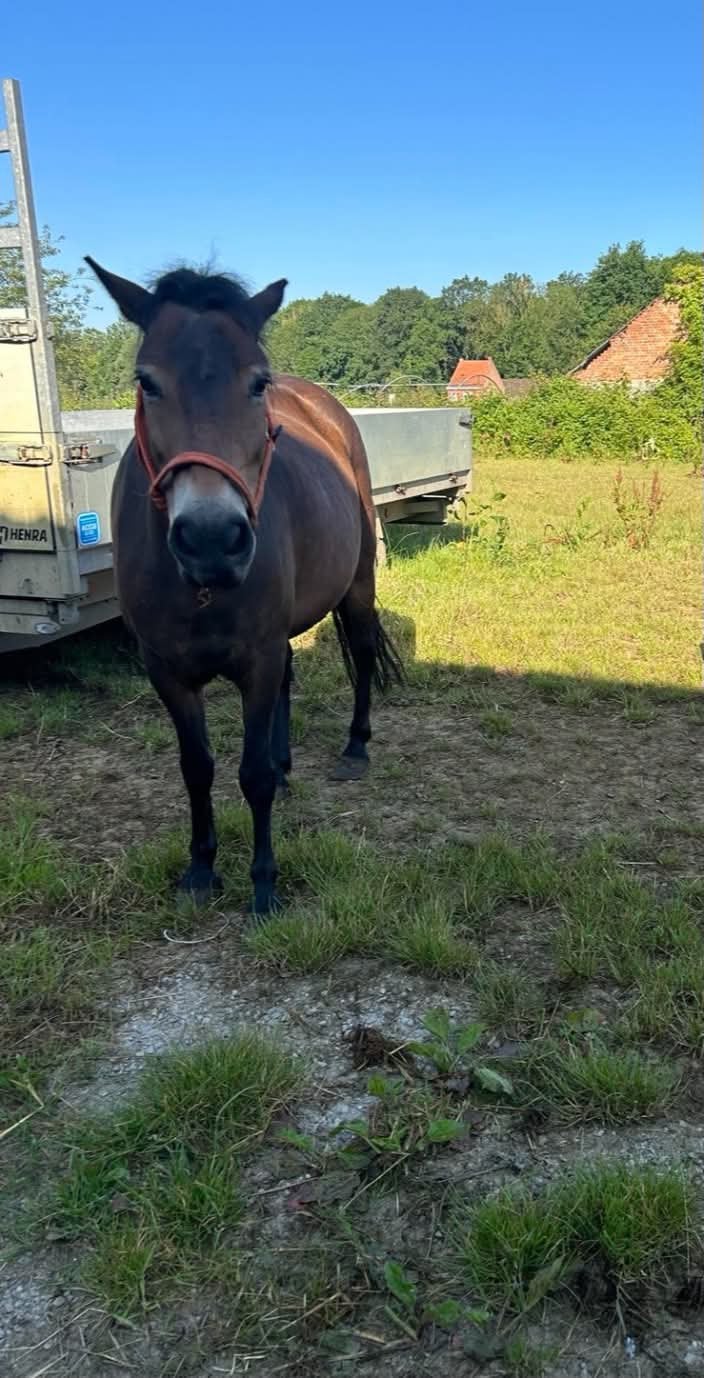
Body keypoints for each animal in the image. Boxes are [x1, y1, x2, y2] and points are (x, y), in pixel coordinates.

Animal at [85, 258, 403, 917]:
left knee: (361, 653)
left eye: (257, 383)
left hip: (358, 583)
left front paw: (263, 883)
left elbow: (249, 775)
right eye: (146, 382)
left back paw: (355, 749)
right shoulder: (168, 672)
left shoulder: (255, 659)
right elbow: (197, 768)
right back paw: (287, 764)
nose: (211, 537)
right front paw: (201, 869)